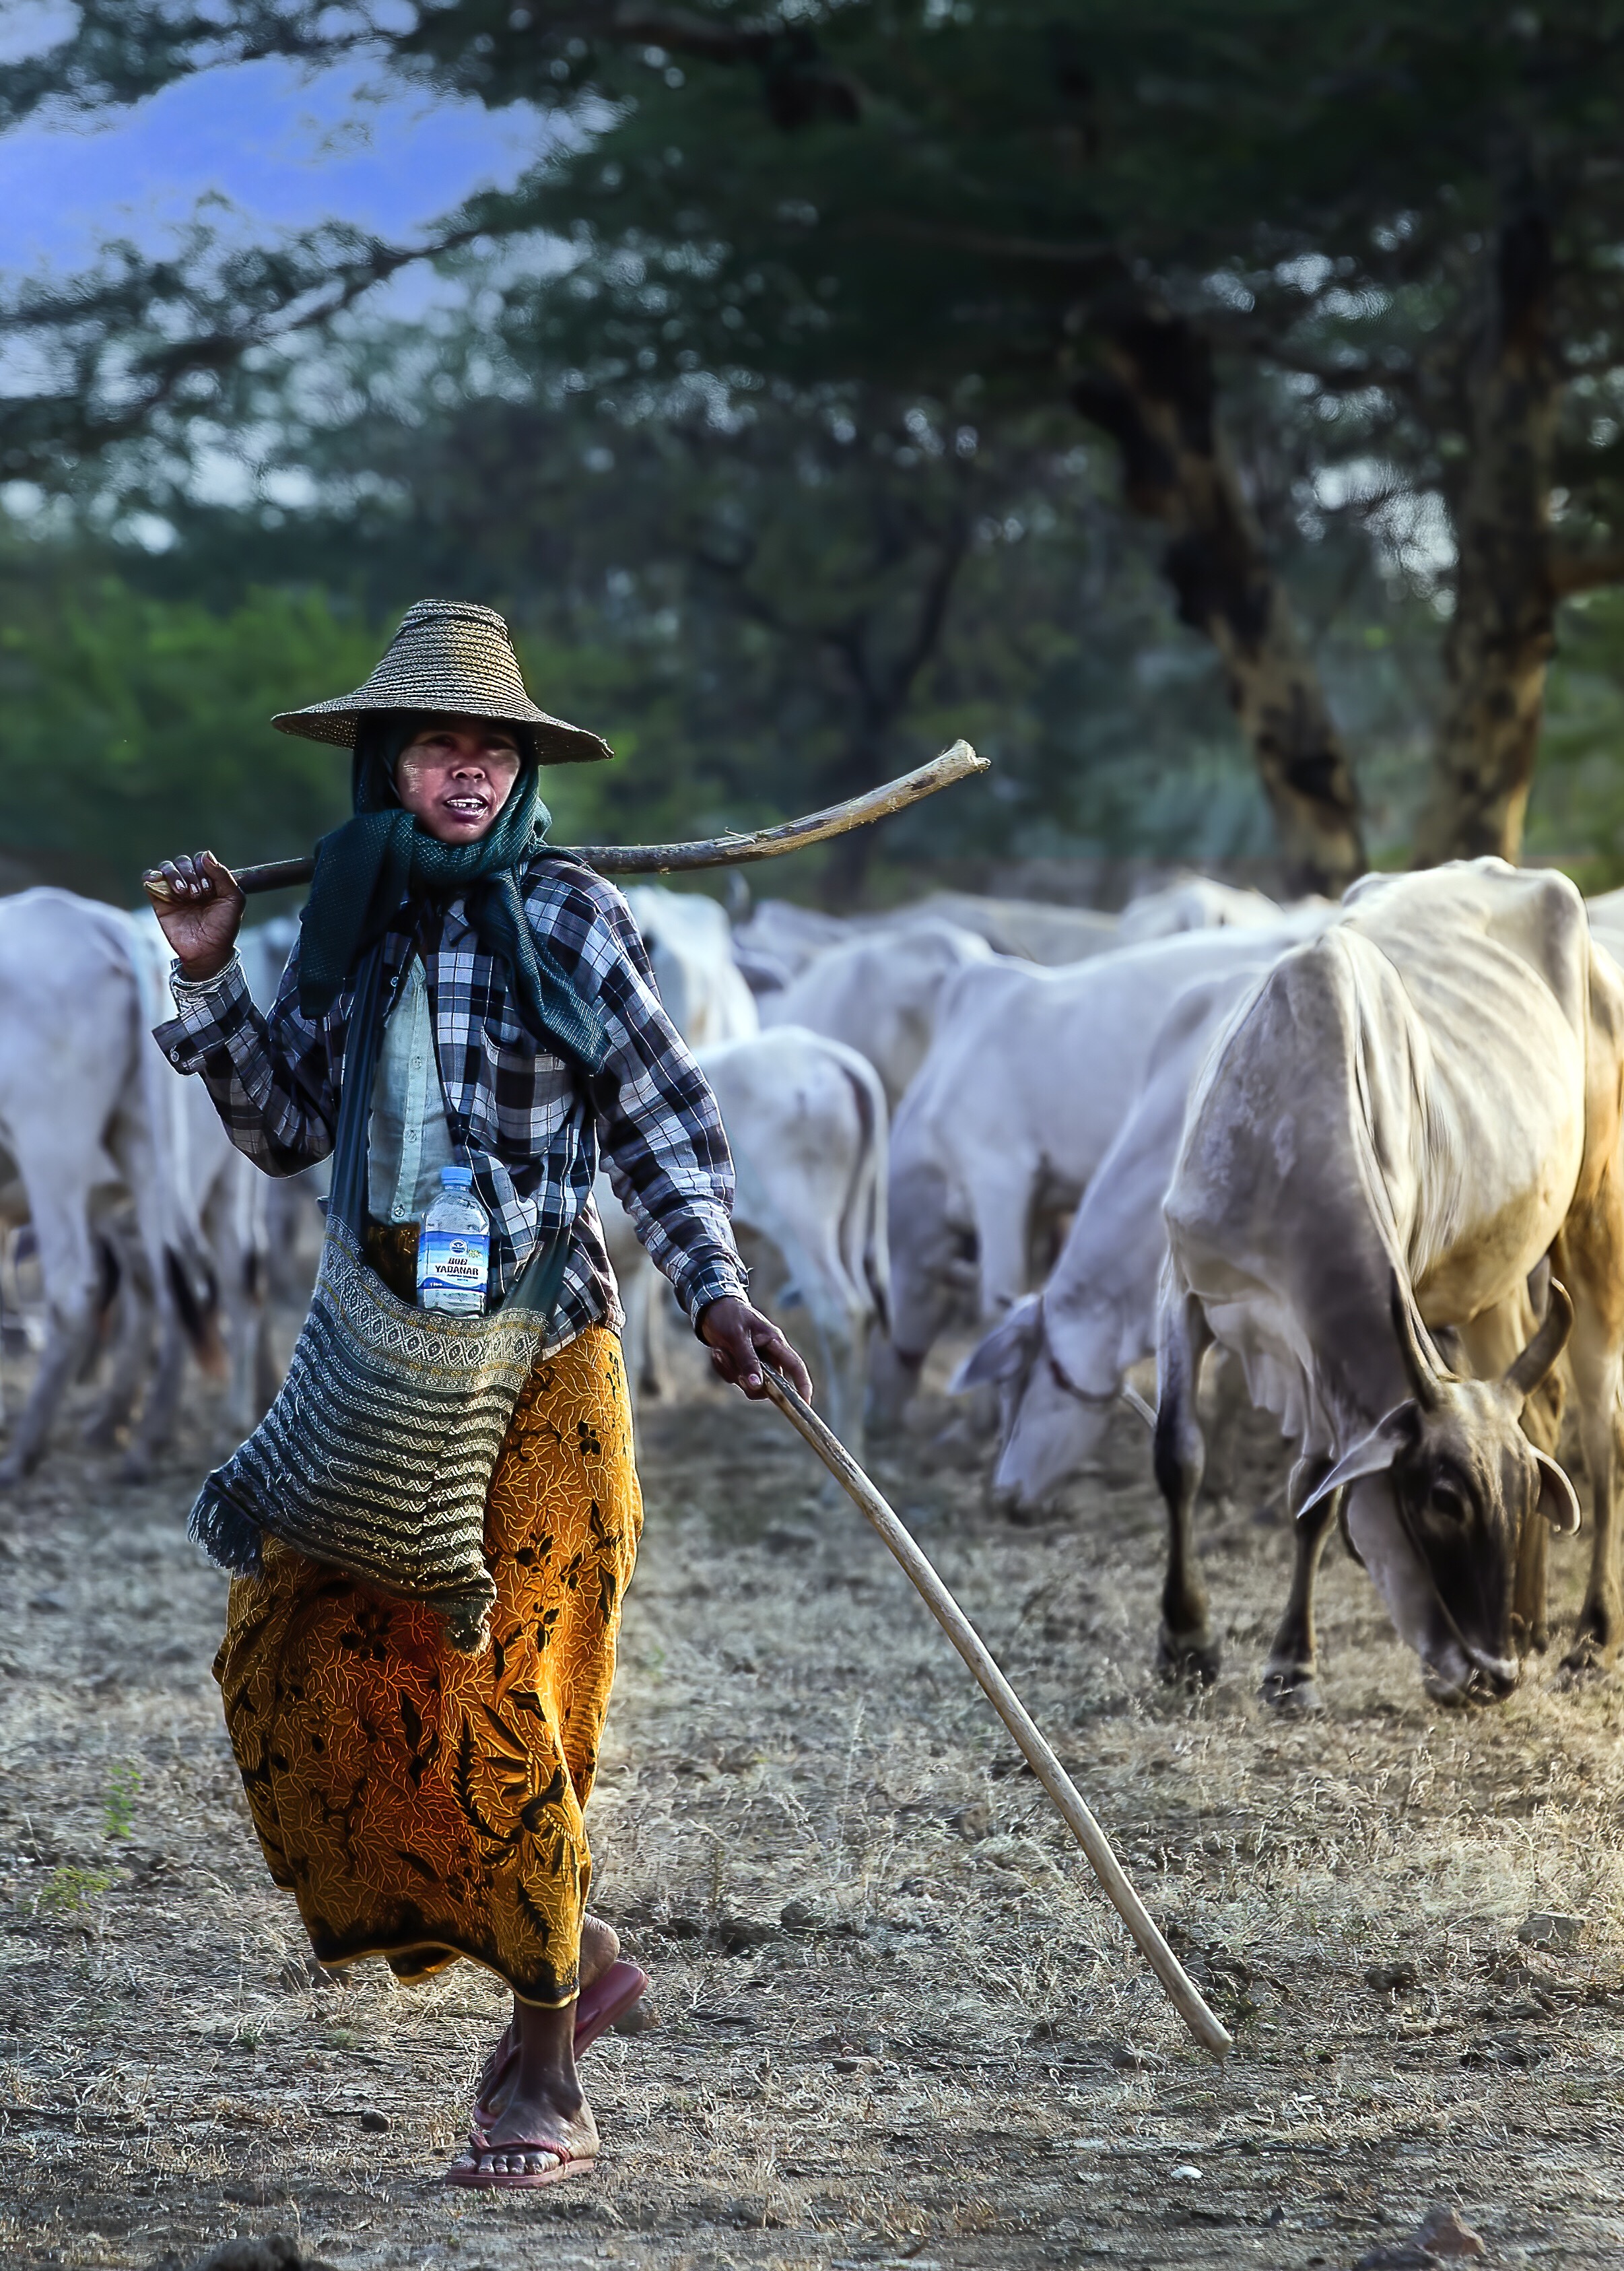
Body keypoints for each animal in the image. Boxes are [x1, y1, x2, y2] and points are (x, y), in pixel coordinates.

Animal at [1158, 858, 1624, 1707]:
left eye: (1516, 1501)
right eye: (1443, 1499)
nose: (1493, 1676)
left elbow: (1313, 1486)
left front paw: (1292, 1662)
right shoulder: (1181, 1285)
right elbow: (1177, 1453)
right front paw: (1185, 1642)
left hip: (1594, 1217)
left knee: (1604, 1434)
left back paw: (1592, 1634)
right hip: (1493, 1278)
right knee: (1542, 1416)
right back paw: (1536, 1624)